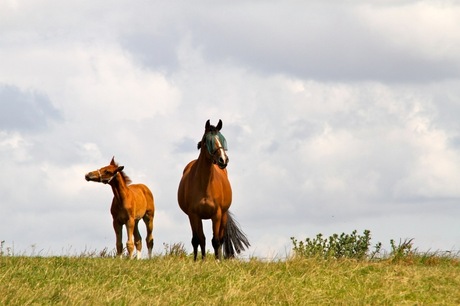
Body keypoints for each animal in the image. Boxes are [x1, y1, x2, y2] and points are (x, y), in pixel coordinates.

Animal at [177, 119, 248, 260]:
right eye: (208, 140)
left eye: (222, 139)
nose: (223, 159)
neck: (204, 184)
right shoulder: (194, 215)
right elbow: (198, 240)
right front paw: (199, 261)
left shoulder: (217, 214)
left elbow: (216, 240)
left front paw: (217, 261)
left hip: (223, 216)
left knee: (220, 238)